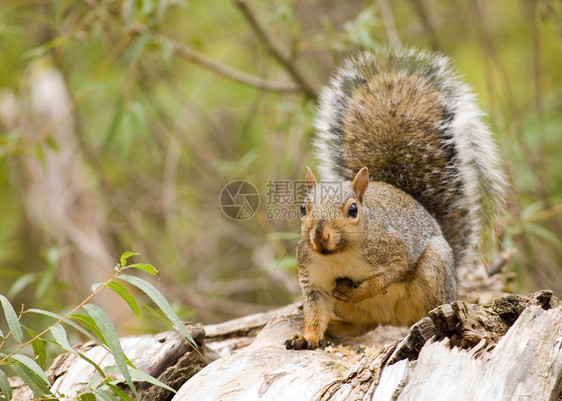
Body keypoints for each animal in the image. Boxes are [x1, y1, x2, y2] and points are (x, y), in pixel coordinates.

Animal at [284, 46, 504, 350]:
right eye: (303, 208)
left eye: (353, 210)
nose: (319, 235)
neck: (339, 255)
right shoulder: (313, 279)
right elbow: (315, 311)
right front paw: (307, 337)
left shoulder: (393, 249)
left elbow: (389, 274)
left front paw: (356, 291)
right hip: (360, 314)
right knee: (363, 325)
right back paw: (335, 328)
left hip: (433, 271)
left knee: (425, 310)